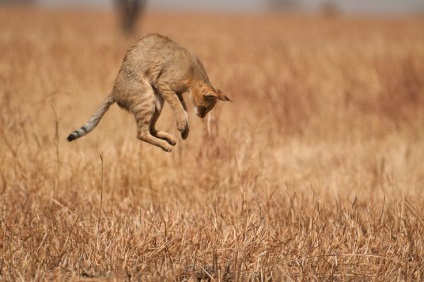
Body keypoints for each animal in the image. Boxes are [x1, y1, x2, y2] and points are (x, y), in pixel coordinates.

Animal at [66, 33, 230, 152]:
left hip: (157, 102)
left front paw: (184, 130)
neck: (193, 76)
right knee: (141, 133)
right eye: (205, 108)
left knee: (150, 128)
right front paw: (183, 126)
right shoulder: (164, 83)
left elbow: (183, 109)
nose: (202, 116)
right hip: (147, 97)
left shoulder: (175, 92)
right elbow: (179, 107)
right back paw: (166, 146)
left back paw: (170, 139)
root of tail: (114, 91)